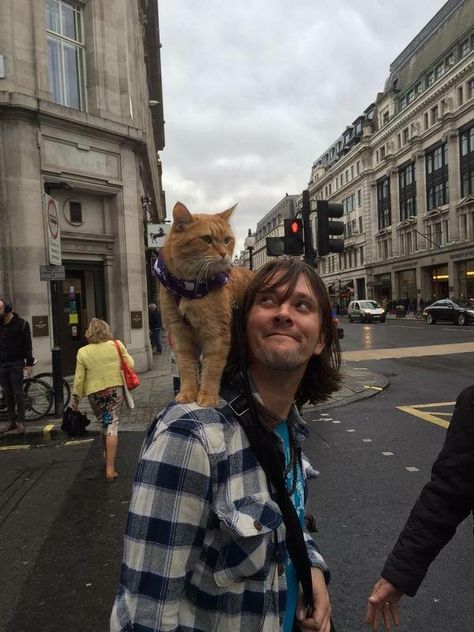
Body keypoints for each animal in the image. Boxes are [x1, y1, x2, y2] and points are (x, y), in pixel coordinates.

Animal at [157, 204, 254, 410]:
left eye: (227, 240)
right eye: (206, 239)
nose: (224, 254)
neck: (188, 288)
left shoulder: (216, 333)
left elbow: (211, 368)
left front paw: (207, 396)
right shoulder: (179, 333)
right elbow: (186, 367)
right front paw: (187, 393)